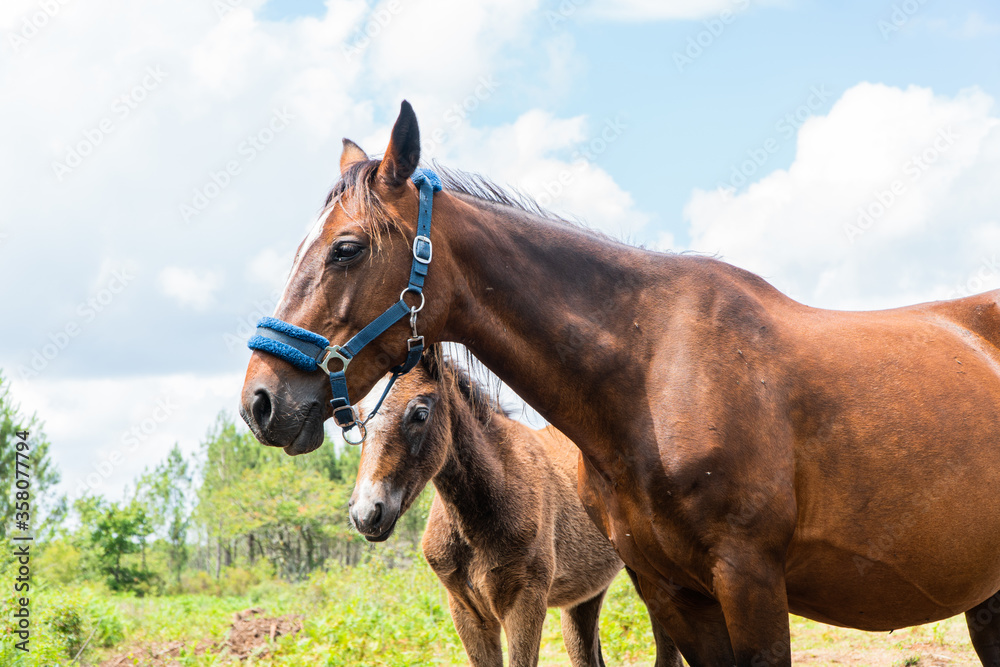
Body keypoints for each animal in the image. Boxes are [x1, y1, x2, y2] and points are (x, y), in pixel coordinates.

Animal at [347, 346, 679, 666]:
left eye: (420, 413)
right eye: (356, 419)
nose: (366, 514)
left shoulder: (525, 604)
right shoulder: (467, 612)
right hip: (584, 596)